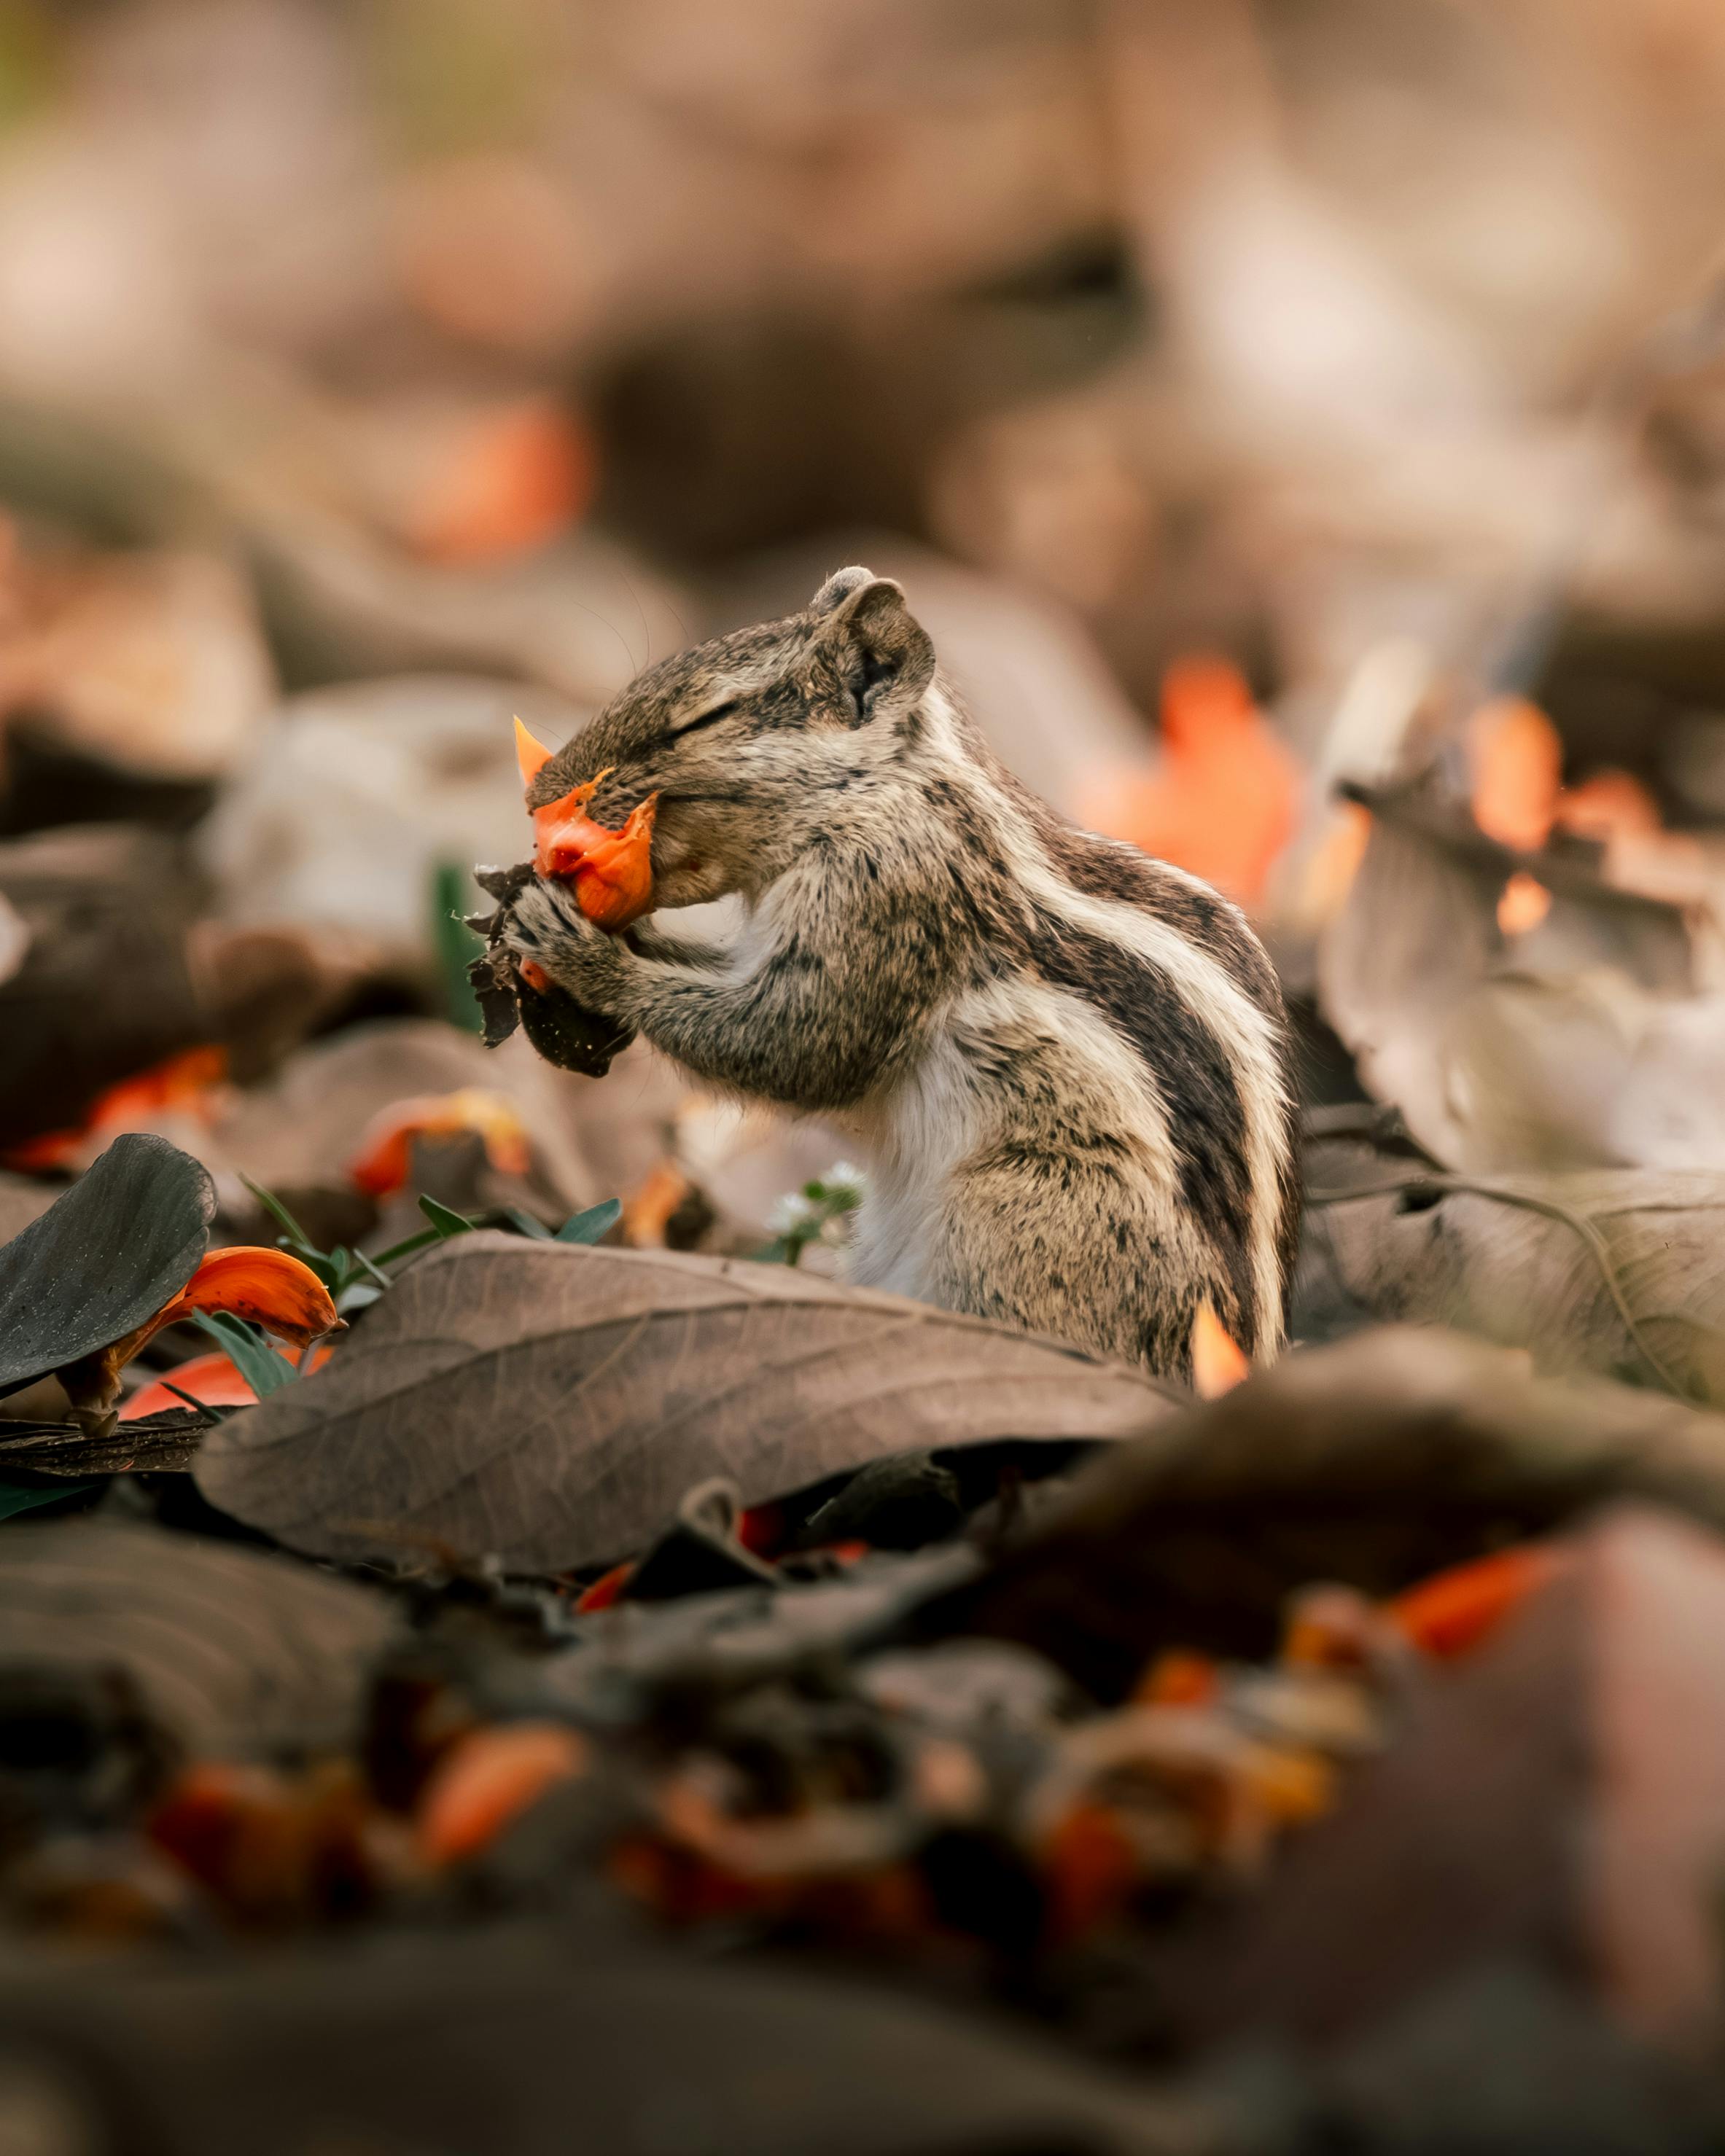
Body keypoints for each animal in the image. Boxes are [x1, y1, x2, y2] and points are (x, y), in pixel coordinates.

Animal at [501, 567, 1301, 1380]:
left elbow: (790, 1046)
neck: (884, 792)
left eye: (707, 718)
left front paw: (576, 946)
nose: (538, 797)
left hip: (1016, 1223)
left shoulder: (887, 900)